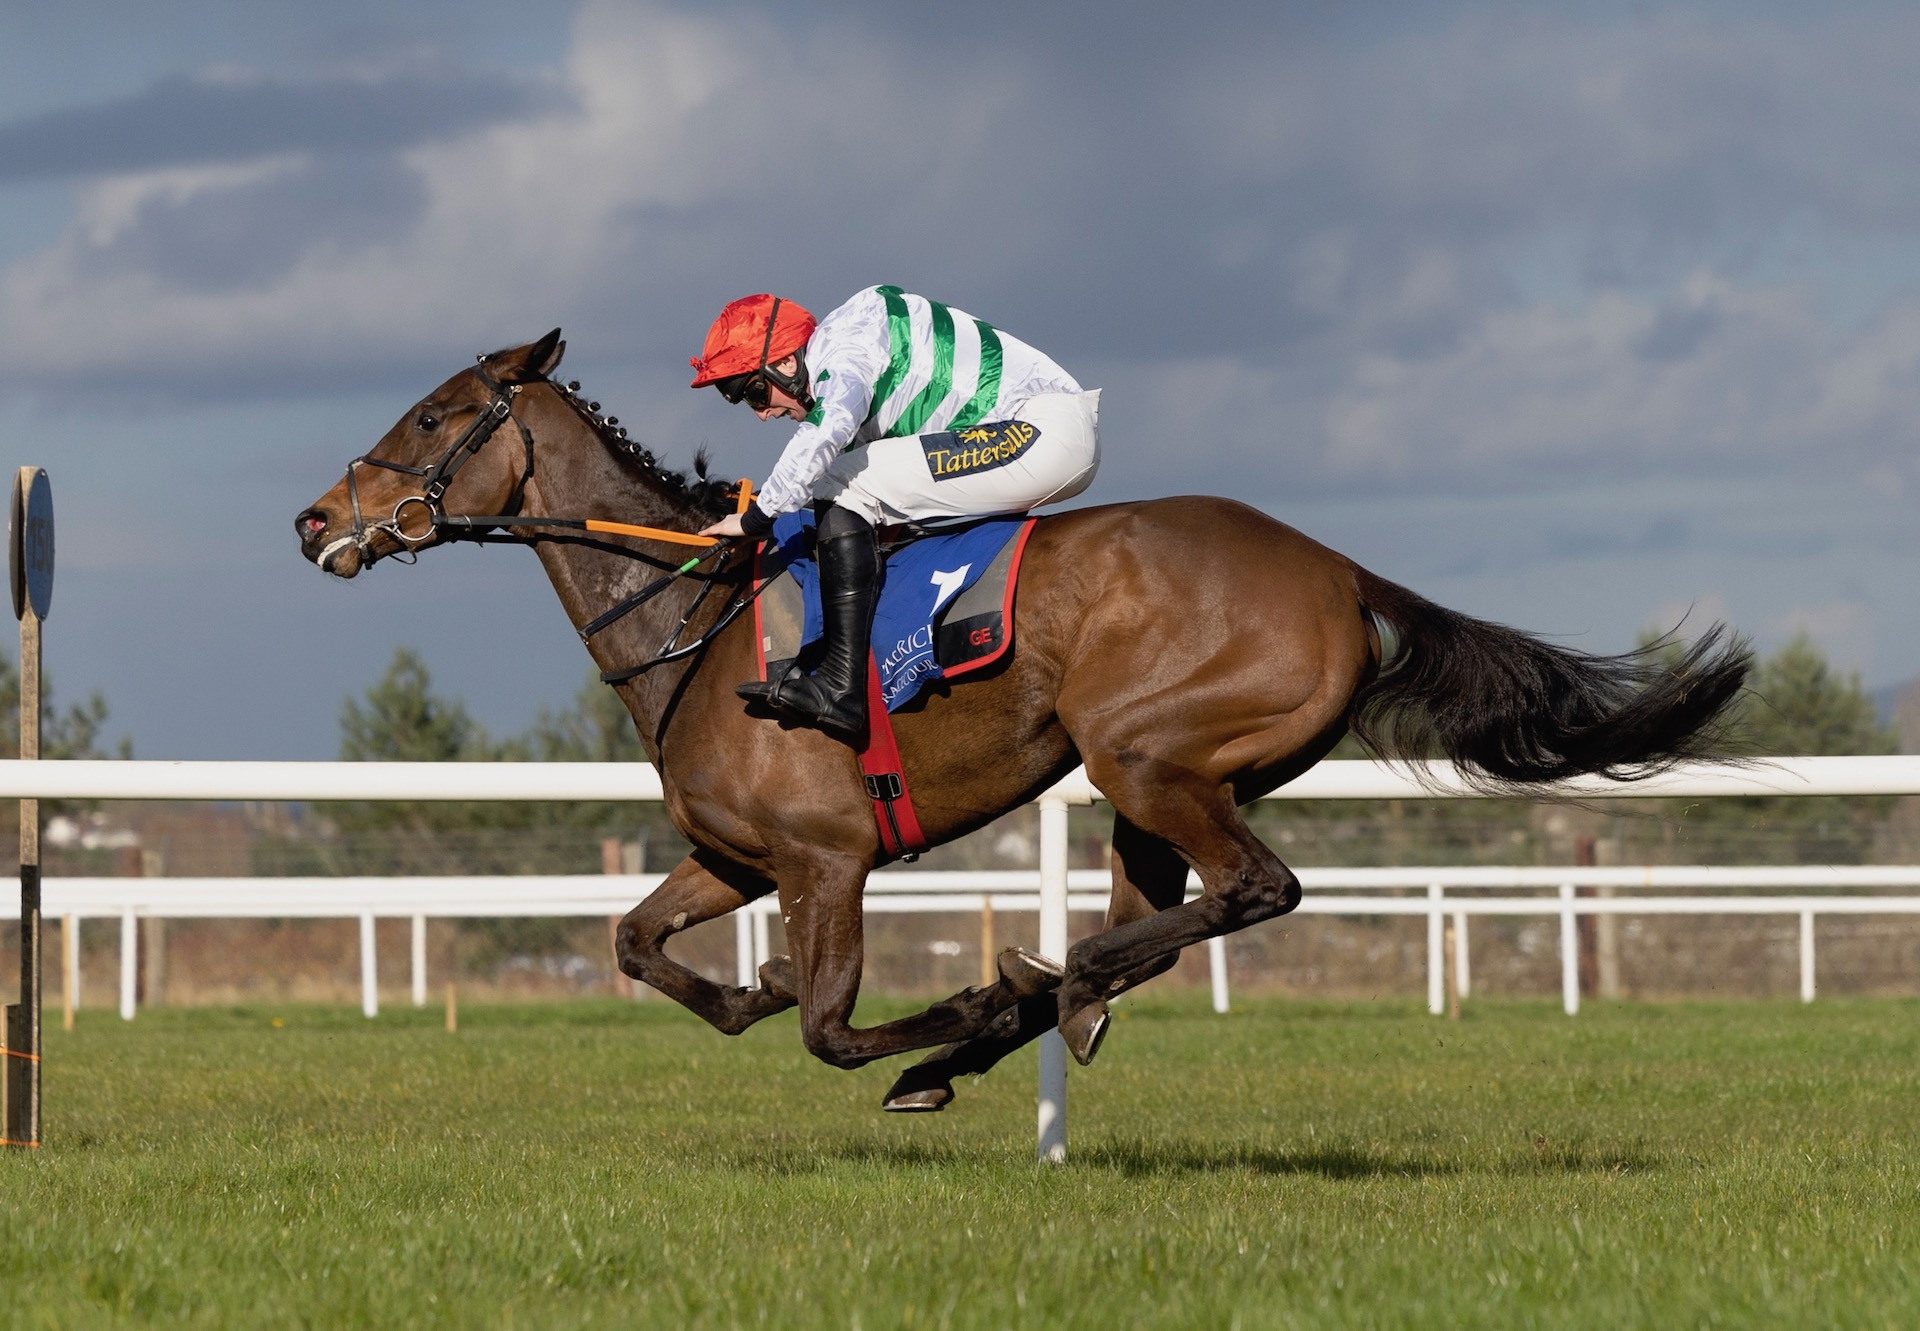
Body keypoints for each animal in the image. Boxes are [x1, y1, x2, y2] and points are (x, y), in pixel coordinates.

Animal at [288, 330, 1758, 1113]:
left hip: (1145, 749)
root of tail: (1339, 570)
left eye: (433, 411)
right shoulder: (737, 855)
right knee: (1174, 909)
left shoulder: (826, 858)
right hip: (1165, 782)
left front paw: (943, 1027)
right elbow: (639, 944)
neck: (698, 614)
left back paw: (1031, 992)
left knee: (1251, 890)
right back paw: (1061, 992)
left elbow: (831, 1026)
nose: (315, 519)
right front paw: (755, 988)